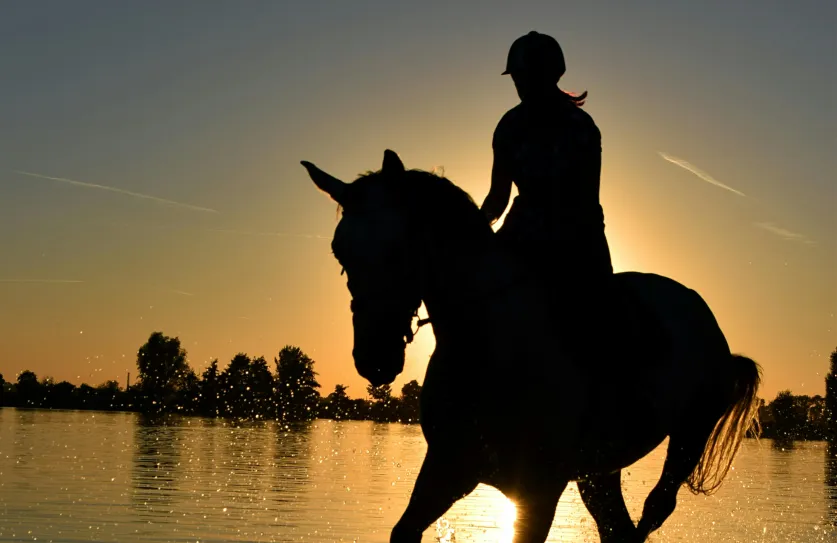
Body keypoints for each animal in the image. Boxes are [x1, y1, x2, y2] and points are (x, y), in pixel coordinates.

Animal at [301, 150, 761, 543]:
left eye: (399, 250)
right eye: (339, 251)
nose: (374, 360)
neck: (490, 347)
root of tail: (702, 315)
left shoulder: (539, 489)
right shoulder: (449, 468)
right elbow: (403, 530)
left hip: (688, 437)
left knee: (652, 510)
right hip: (599, 471)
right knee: (617, 526)